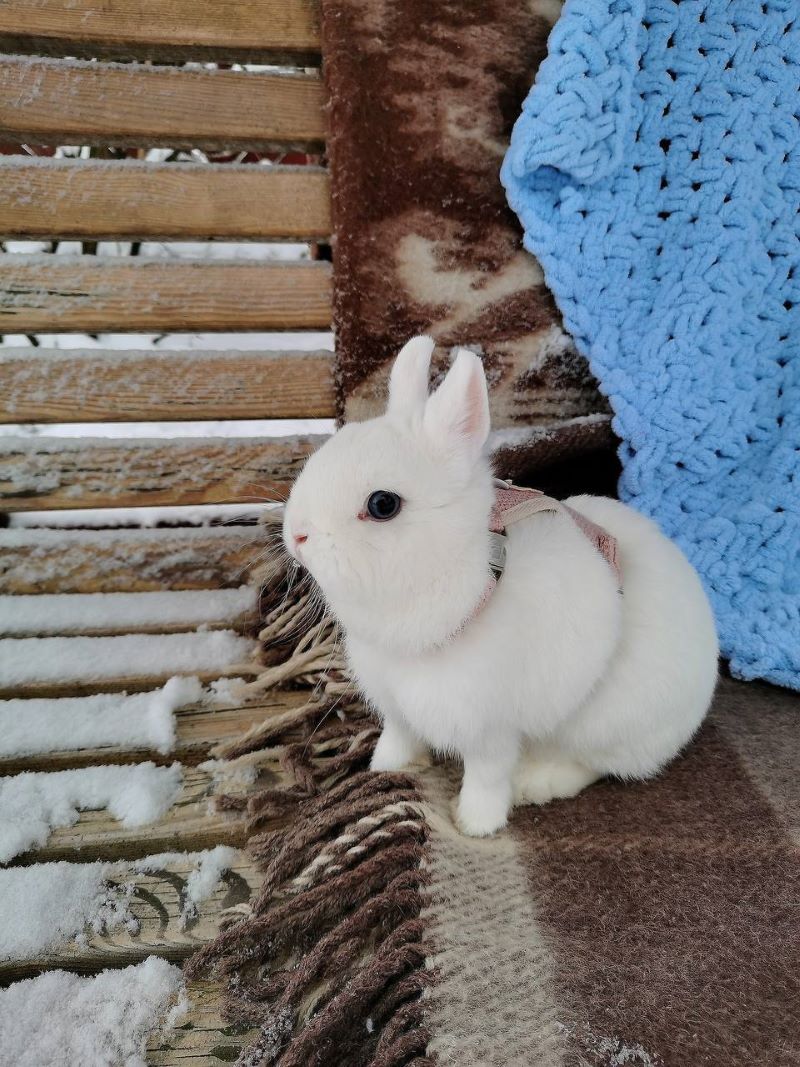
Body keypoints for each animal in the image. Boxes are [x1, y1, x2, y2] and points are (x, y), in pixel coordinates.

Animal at [283, 336, 719, 836]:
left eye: (382, 504)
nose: (296, 535)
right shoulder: (396, 705)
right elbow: (399, 738)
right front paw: (386, 768)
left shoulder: (489, 724)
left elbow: (486, 774)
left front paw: (476, 824)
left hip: (606, 726)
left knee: (592, 764)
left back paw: (536, 784)